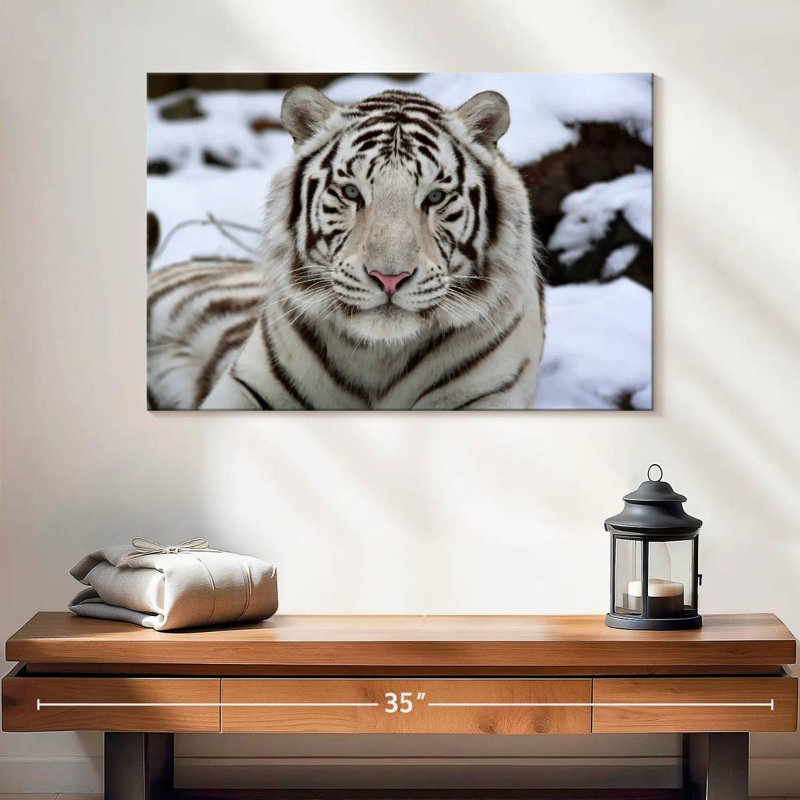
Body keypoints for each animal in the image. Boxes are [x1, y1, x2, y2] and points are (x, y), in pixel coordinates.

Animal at [147, 87, 546, 410]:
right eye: (352, 192)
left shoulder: (487, 396)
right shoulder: (246, 388)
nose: (389, 278)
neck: (379, 356)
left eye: (434, 197)